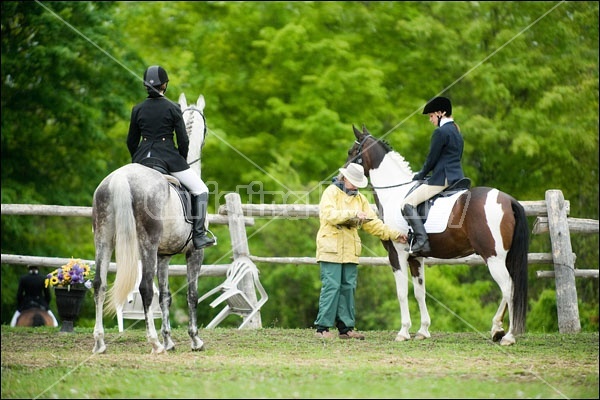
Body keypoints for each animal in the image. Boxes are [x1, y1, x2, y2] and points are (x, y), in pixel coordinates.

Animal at [344, 126, 528, 346]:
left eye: (352, 152)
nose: (339, 179)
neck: (395, 194)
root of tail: (508, 200)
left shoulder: (397, 254)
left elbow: (402, 293)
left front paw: (403, 332)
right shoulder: (415, 258)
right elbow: (419, 292)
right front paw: (423, 330)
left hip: (493, 257)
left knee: (508, 288)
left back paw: (508, 336)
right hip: (503, 257)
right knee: (509, 289)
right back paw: (496, 329)